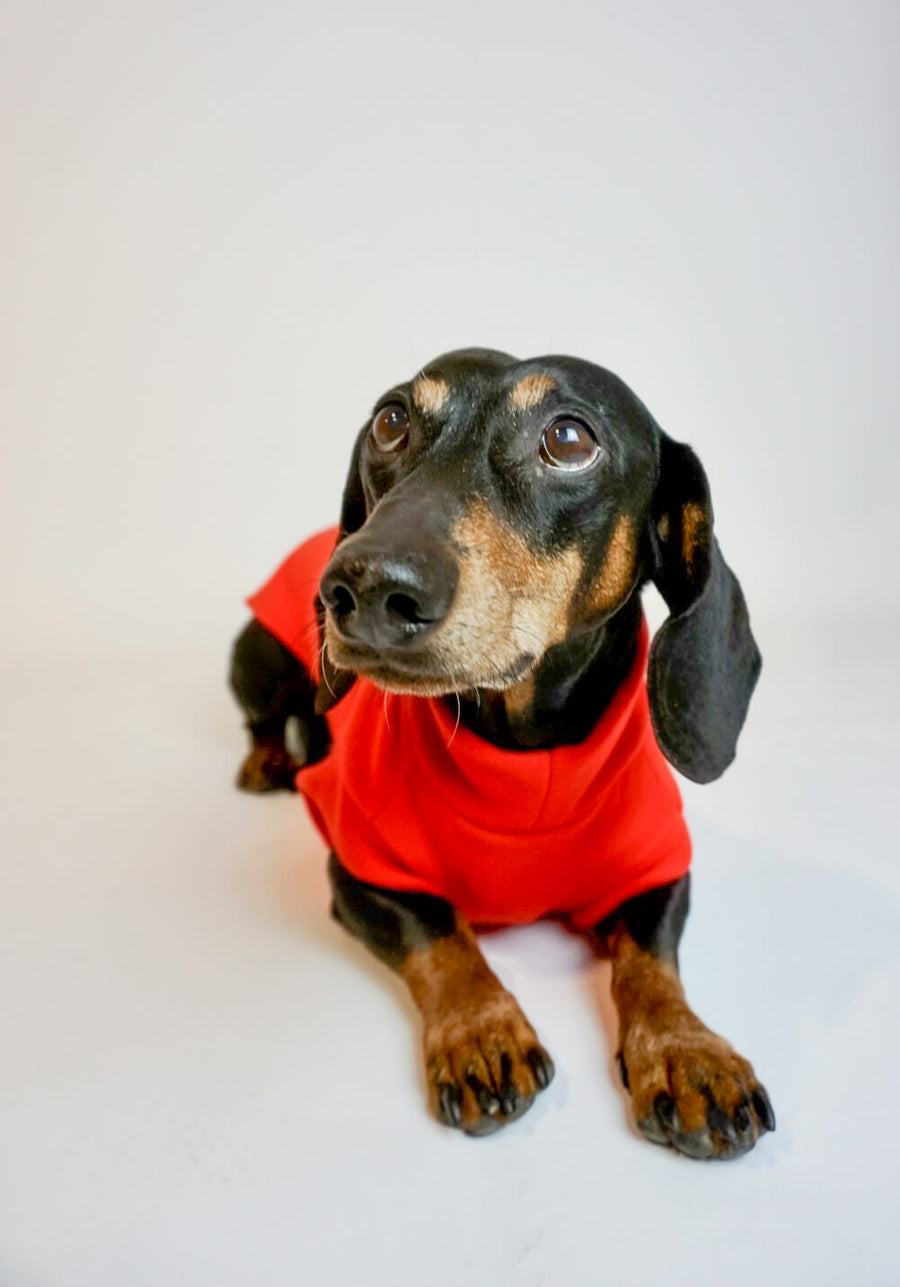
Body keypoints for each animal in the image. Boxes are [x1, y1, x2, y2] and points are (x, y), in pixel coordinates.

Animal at [230, 344, 772, 1158]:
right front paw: (482, 1033)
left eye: (570, 439)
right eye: (390, 420)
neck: (524, 765)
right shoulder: (359, 869)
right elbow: (442, 937)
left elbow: (653, 964)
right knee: (265, 716)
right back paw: (268, 760)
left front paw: (688, 1052)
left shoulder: (657, 865)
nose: (360, 584)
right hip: (256, 657)